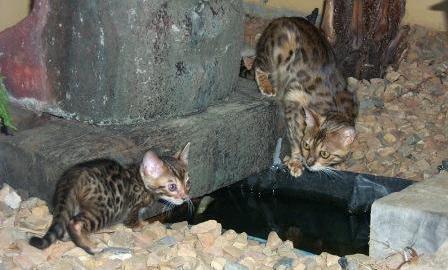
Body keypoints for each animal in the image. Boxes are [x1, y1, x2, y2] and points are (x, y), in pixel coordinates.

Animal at [29, 142, 191, 254]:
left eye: (188, 183)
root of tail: (74, 175)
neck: (141, 180)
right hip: (107, 208)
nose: (185, 197)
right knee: (75, 223)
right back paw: (90, 247)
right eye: (172, 187)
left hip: (71, 203)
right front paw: (142, 225)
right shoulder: (132, 209)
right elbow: (133, 222)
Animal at [254, 16, 358, 177]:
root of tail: (282, 18)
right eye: (307, 145)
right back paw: (267, 86)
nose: (309, 163)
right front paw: (296, 161)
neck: (335, 108)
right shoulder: (293, 102)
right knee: (258, 64)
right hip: (279, 49)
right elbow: (294, 137)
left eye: (324, 154)